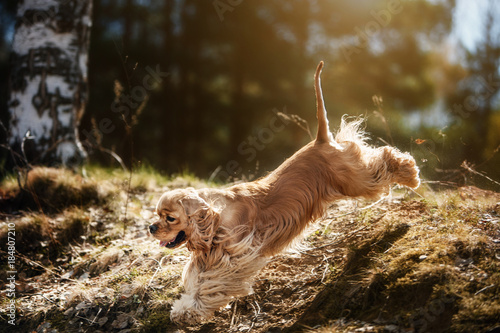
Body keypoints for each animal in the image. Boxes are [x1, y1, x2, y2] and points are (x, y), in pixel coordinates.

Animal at [147, 61, 418, 322]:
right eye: (157, 215)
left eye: (170, 218)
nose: (151, 227)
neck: (215, 216)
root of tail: (321, 140)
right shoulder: (210, 254)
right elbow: (196, 278)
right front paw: (183, 309)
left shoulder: (236, 255)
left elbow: (211, 283)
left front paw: (190, 311)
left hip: (356, 179)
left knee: (385, 159)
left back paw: (411, 173)